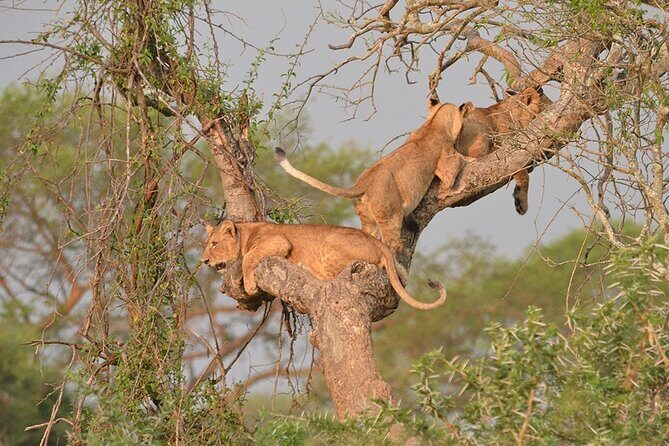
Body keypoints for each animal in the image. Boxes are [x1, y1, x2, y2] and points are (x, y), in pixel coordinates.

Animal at [201, 220, 447, 310]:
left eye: (214, 244)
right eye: (206, 244)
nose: (203, 261)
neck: (247, 232)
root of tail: (377, 242)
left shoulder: (279, 241)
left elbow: (249, 257)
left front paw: (249, 285)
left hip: (329, 243)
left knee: (329, 278)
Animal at [275, 102, 468, 252]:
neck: (433, 123)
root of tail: (363, 182)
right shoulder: (447, 164)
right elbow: (456, 167)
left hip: (368, 220)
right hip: (391, 215)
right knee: (391, 244)